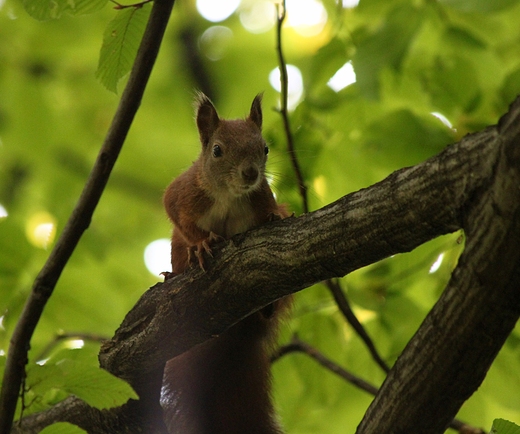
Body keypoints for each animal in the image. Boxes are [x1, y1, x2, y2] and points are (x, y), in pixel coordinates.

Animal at [160, 93, 290, 432]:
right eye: (217, 150)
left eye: (265, 148)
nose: (251, 173)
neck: (230, 194)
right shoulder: (182, 192)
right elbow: (178, 216)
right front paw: (201, 245)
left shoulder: (264, 196)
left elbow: (271, 211)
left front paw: (273, 218)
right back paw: (176, 272)